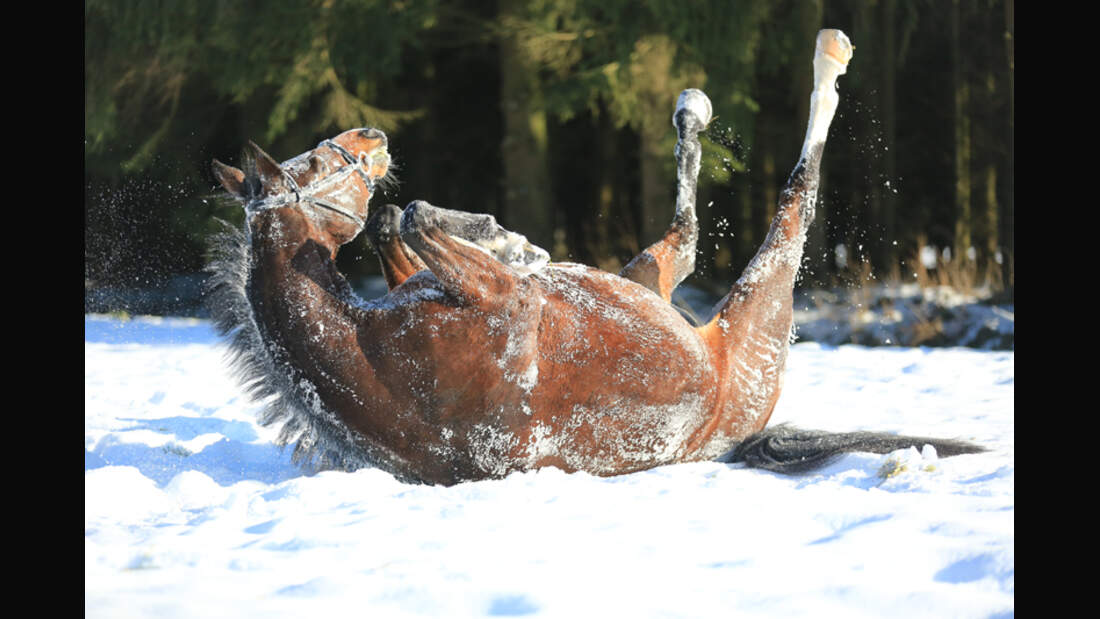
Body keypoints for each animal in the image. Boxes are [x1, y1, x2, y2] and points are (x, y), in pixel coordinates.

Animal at [210, 30, 985, 483]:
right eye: (314, 164)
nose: (372, 134)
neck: (374, 361)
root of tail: (737, 437)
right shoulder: (502, 300)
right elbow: (416, 216)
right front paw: (517, 244)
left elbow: (393, 222)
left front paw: (504, 238)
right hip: (759, 305)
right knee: (789, 196)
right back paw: (826, 58)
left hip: (645, 278)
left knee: (684, 230)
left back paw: (691, 106)